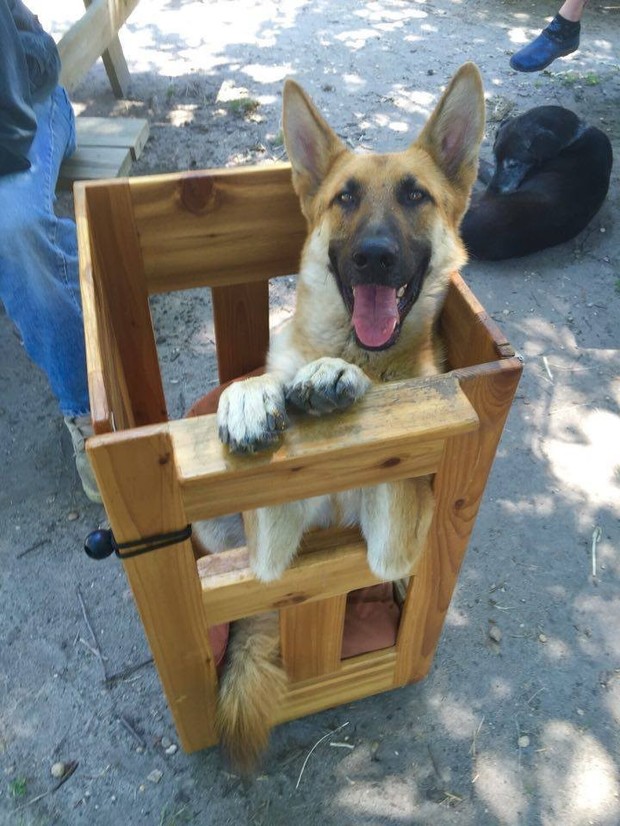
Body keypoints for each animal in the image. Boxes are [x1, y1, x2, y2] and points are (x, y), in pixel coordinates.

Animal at [196, 61, 486, 768]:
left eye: (415, 195)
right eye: (345, 198)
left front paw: (335, 378)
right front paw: (253, 395)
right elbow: (263, 390)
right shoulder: (270, 551)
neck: (359, 349)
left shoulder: (393, 530)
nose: (374, 256)